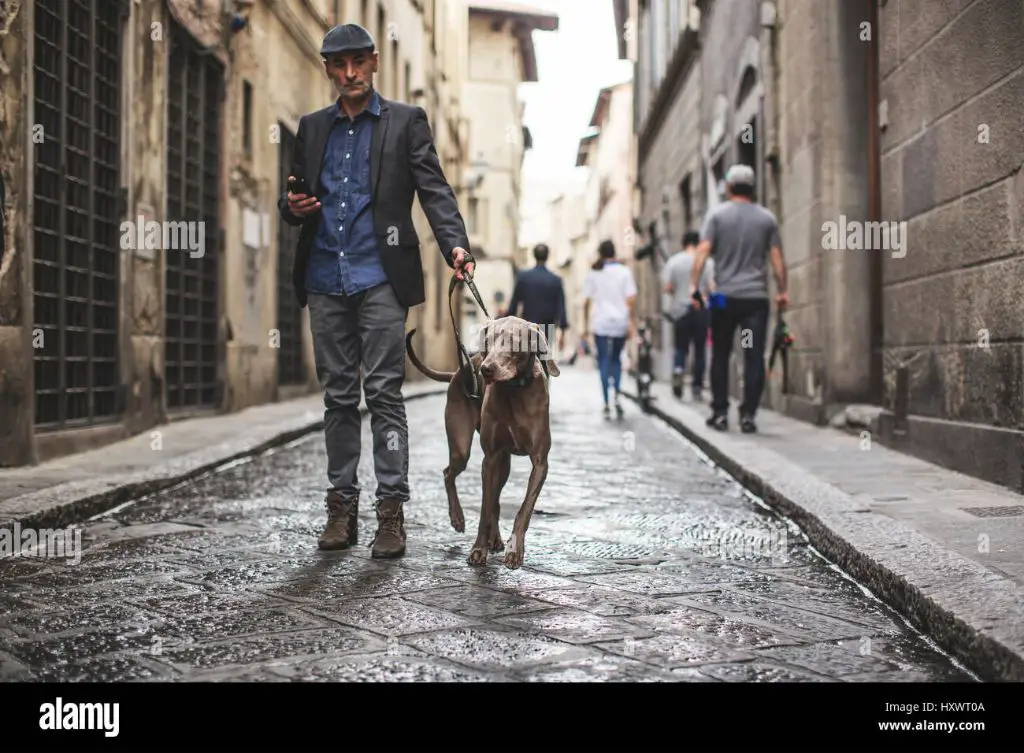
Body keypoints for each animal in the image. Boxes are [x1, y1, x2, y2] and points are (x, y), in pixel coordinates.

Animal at [403, 315, 561, 569]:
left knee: (496, 499)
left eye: (514, 342)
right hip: (462, 448)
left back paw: (495, 538)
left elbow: (524, 509)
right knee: (450, 473)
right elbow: (484, 509)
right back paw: (458, 518)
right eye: (488, 340)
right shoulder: (490, 458)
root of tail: (459, 370)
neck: (514, 389)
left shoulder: (540, 462)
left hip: (504, 463)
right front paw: (478, 549)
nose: (486, 369)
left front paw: (514, 550)